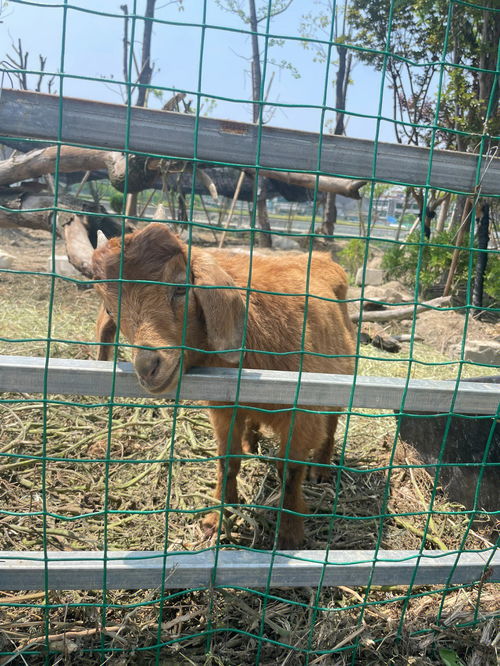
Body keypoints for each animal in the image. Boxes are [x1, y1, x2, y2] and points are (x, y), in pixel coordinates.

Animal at [92, 223, 354, 544]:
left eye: (181, 287)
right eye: (110, 309)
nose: (147, 367)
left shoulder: (302, 413)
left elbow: (290, 471)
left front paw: (290, 533)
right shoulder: (223, 407)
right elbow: (227, 461)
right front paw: (217, 518)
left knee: (333, 422)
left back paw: (323, 468)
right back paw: (251, 443)